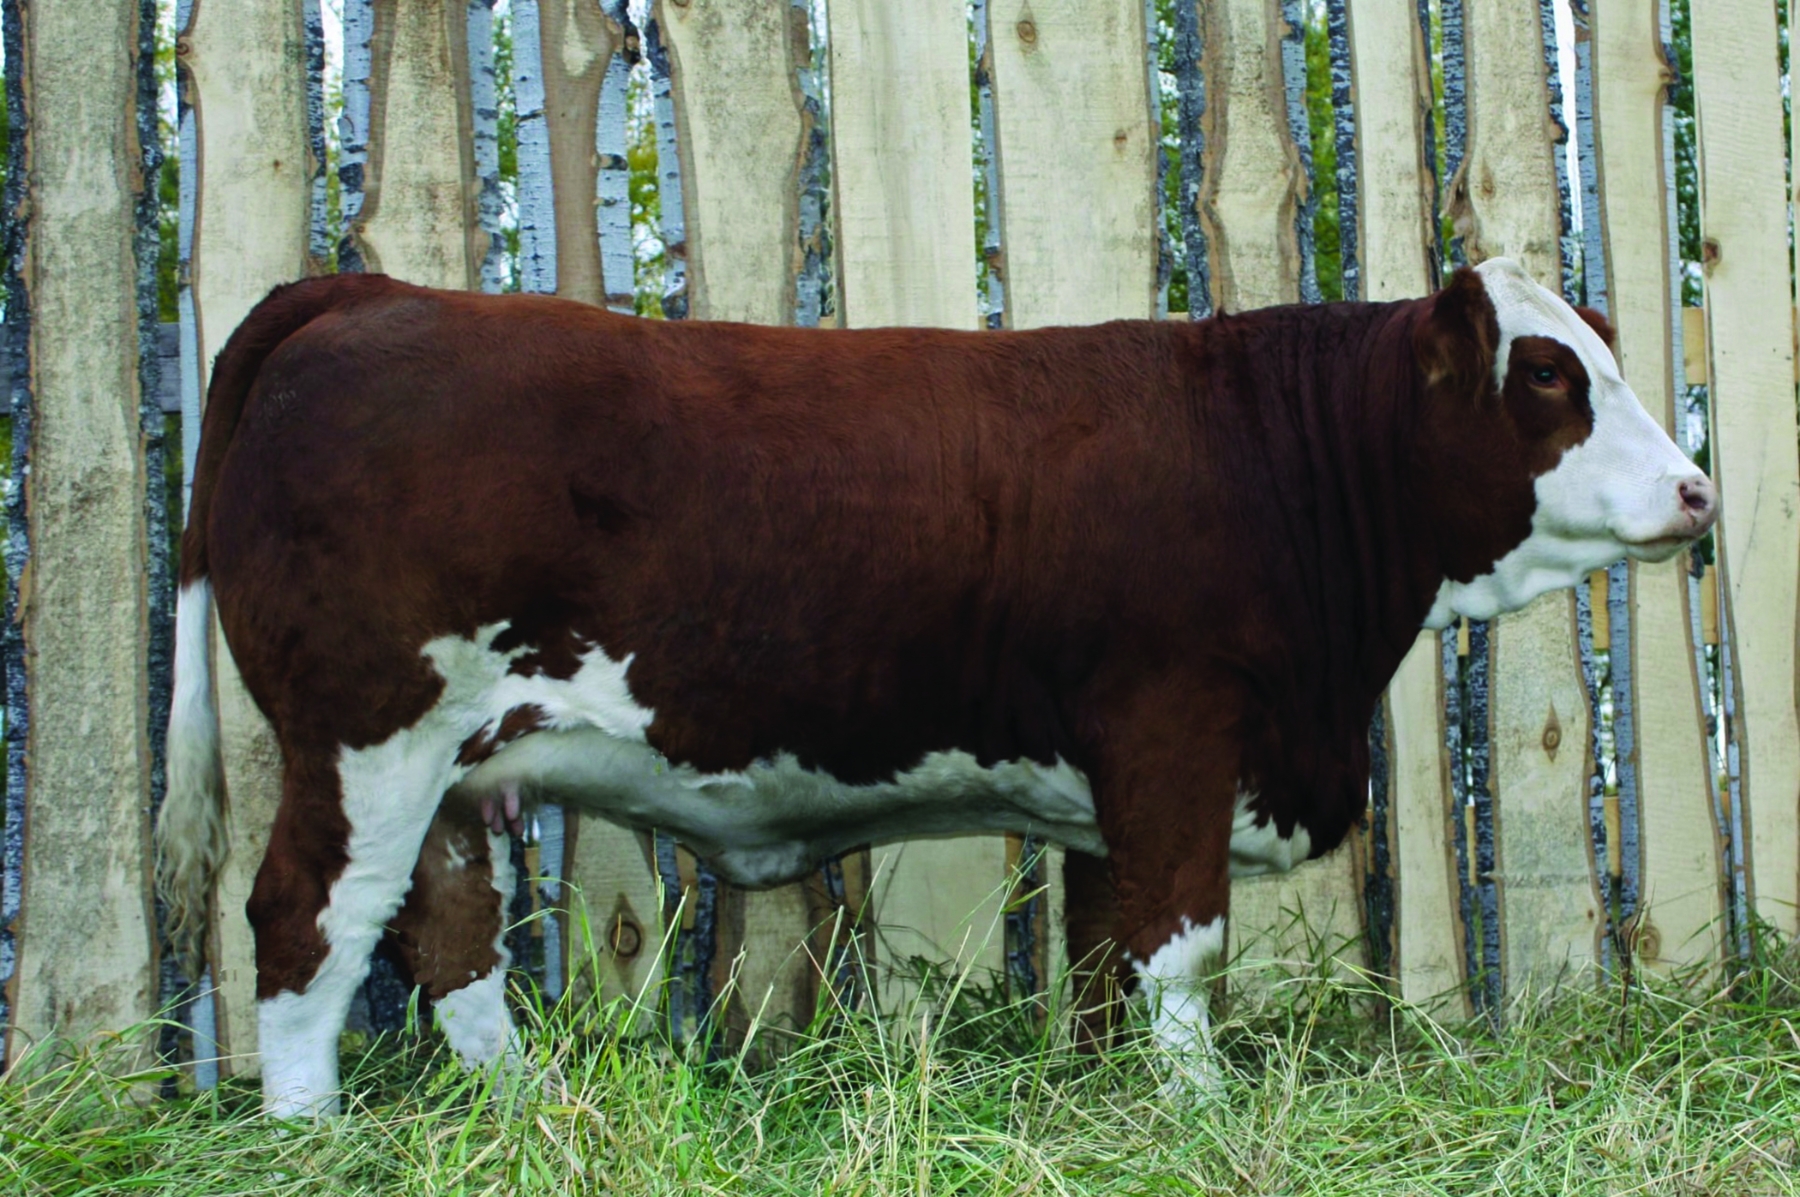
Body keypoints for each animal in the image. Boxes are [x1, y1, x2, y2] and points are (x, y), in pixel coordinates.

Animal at [155, 258, 1716, 1117]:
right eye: (1549, 378)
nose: (1700, 491)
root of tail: (365, 291)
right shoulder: (1174, 729)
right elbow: (1181, 944)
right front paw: (1201, 1104)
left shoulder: (1112, 783)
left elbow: (1107, 953)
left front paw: (1111, 1094)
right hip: (367, 737)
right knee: (303, 921)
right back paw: (308, 1136)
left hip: (454, 766)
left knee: (450, 931)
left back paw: (522, 1107)